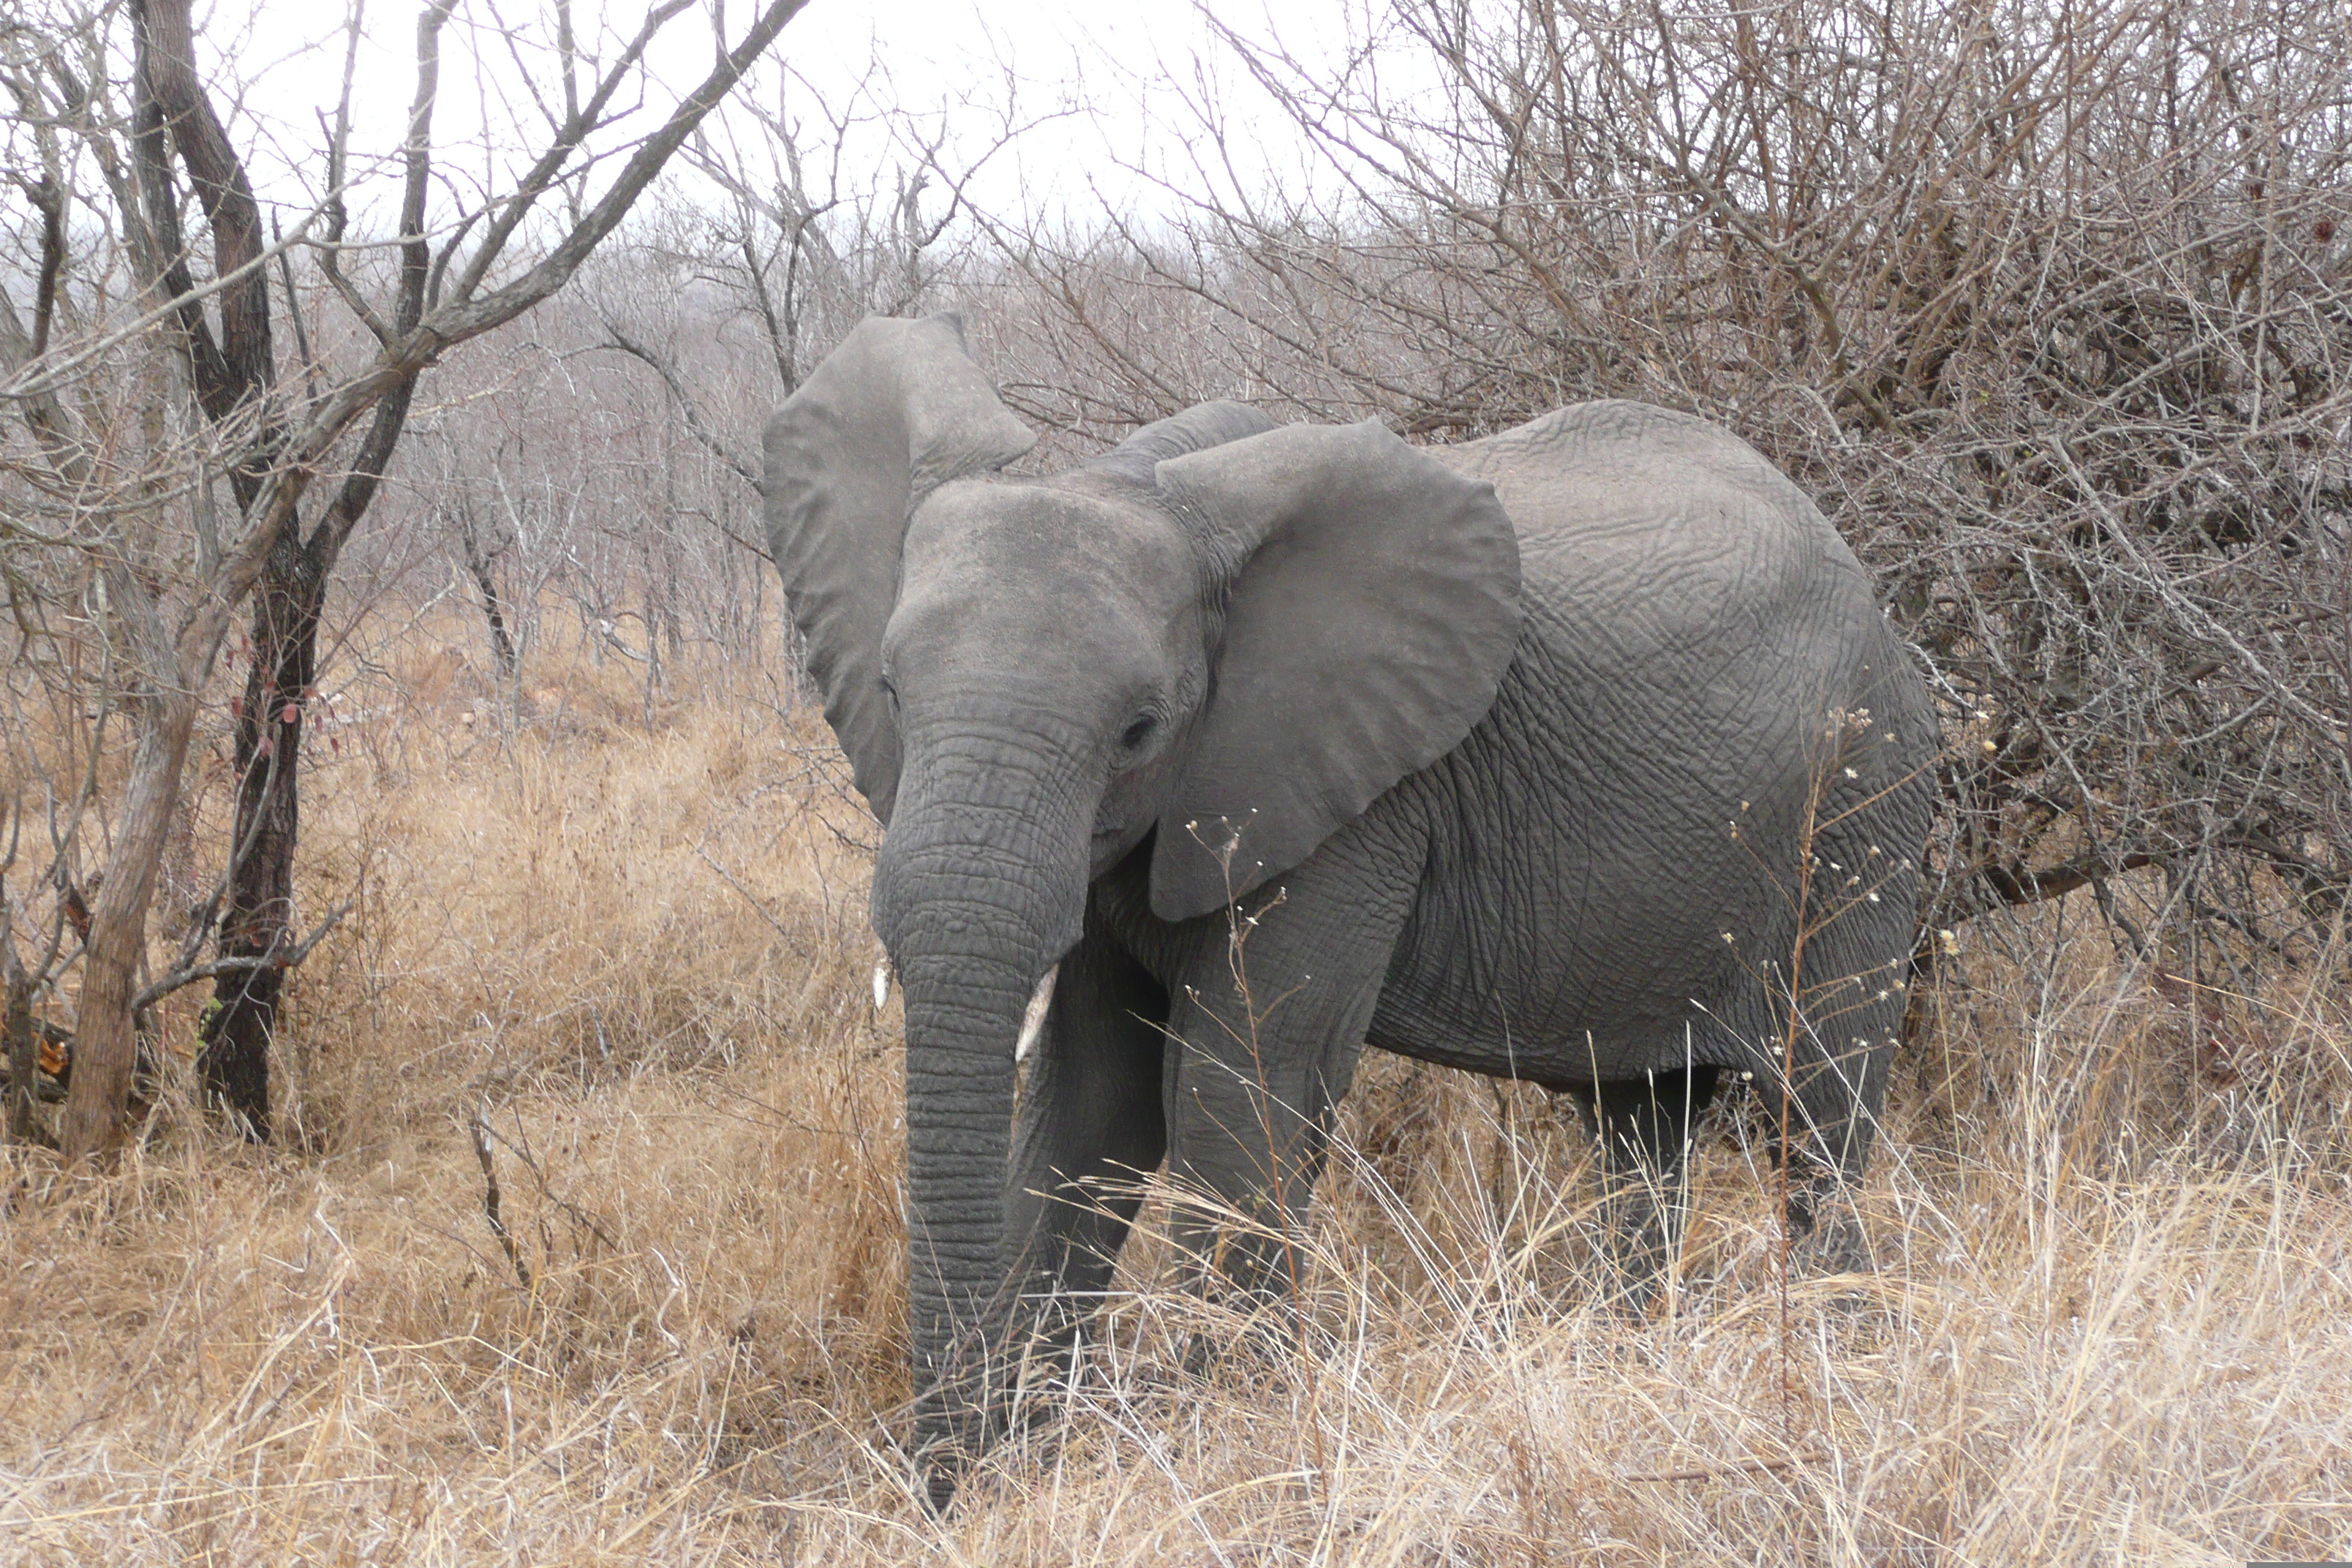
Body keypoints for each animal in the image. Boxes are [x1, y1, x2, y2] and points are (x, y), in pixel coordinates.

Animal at [761, 312, 1937, 1504]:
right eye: (892, 692)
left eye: (1140, 729)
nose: (944, 1489)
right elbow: (1092, 1106)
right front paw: (1029, 1477)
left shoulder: (1351, 801)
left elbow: (1240, 1093)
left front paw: (1233, 1453)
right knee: (1643, 1121)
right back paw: (1636, 1355)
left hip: (1862, 808)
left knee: (1819, 1114)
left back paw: (1839, 1363)